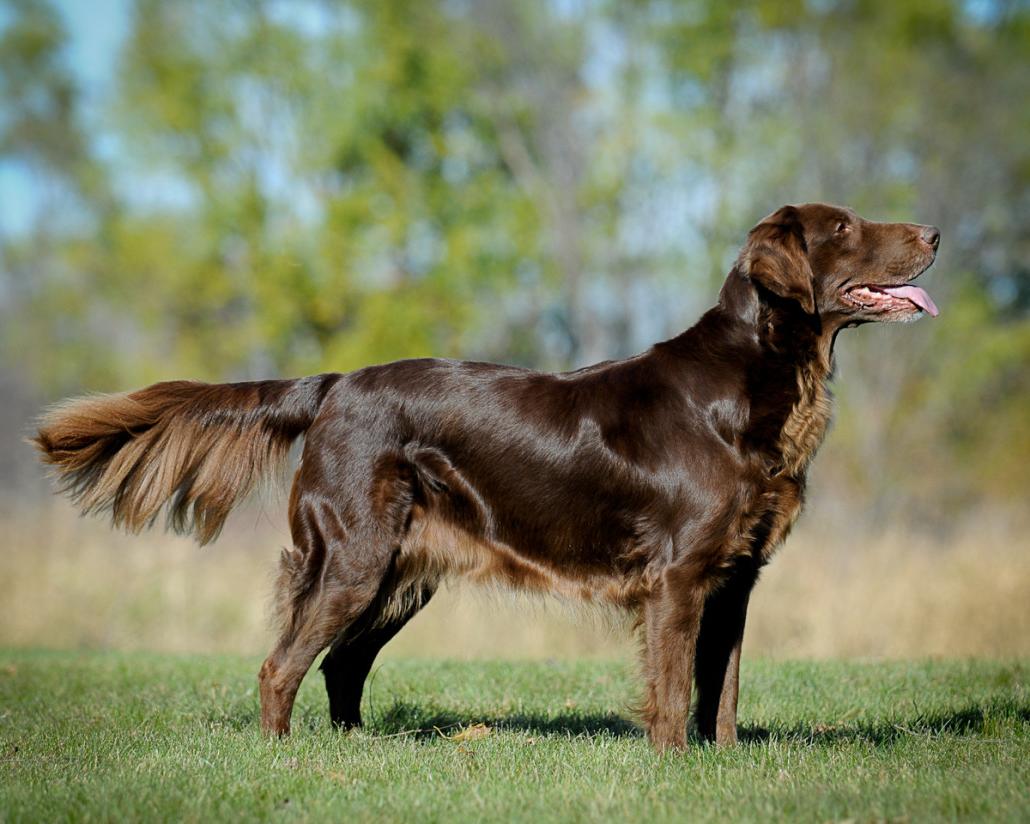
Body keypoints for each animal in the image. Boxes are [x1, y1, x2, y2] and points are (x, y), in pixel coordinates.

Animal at [32, 202, 939, 749]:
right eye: (845, 226)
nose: (935, 234)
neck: (757, 382)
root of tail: (334, 384)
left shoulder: (737, 577)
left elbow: (726, 691)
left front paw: (722, 764)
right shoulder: (678, 576)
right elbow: (676, 689)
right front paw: (675, 764)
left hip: (401, 573)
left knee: (339, 664)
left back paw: (355, 751)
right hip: (353, 554)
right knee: (280, 664)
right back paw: (283, 755)